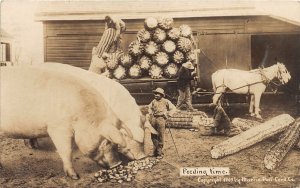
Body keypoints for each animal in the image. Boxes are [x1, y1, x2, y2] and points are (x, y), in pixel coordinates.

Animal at [0, 66, 142, 179]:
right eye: (107, 141)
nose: (117, 163)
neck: (83, 116)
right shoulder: (58, 127)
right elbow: (66, 150)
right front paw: (75, 176)